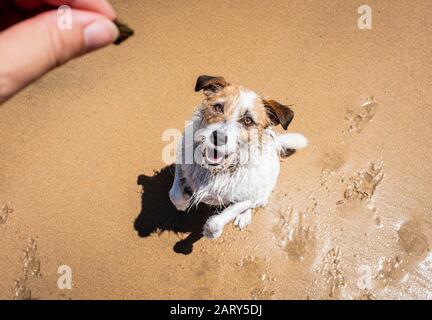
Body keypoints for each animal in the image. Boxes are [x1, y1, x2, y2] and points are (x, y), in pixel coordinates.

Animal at [169, 75, 308, 239]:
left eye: (248, 120)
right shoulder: (181, 161)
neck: (217, 171)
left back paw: (244, 216)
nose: (218, 138)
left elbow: (222, 217)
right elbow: (174, 194)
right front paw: (182, 203)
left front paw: (211, 232)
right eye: (218, 107)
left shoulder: (250, 197)